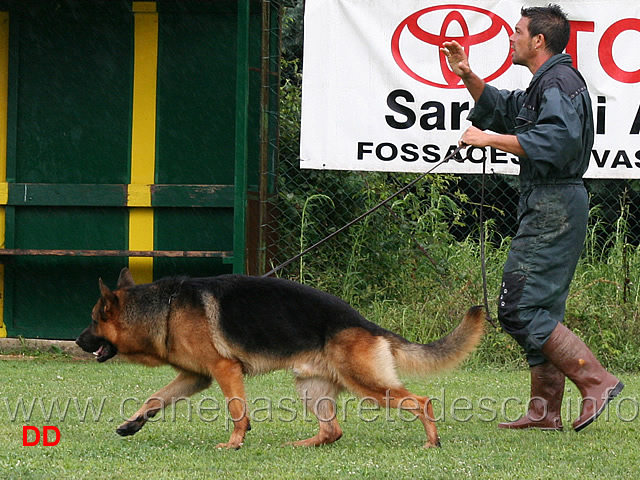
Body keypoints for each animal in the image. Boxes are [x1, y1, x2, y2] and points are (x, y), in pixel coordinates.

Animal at [76, 268, 484, 448]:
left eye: (94, 319)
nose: (78, 340)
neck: (166, 308)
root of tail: (364, 323)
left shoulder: (225, 370)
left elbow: (237, 411)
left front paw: (235, 443)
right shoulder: (196, 377)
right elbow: (155, 398)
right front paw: (132, 424)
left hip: (367, 385)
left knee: (421, 400)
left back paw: (432, 441)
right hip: (311, 389)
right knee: (333, 431)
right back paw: (302, 446)